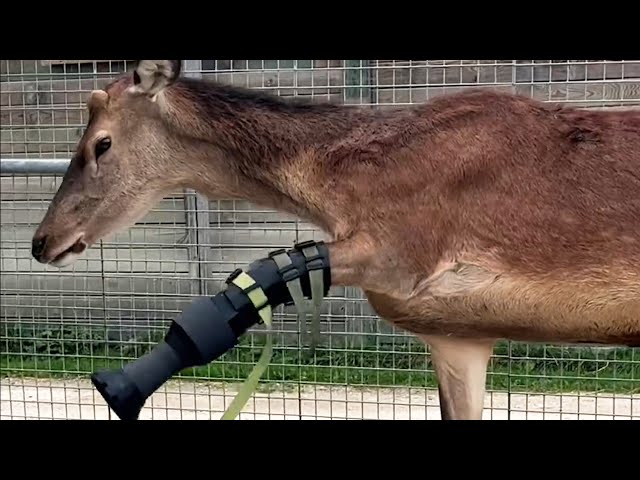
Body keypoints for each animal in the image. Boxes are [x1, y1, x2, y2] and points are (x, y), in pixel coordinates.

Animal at [31, 61, 640, 420]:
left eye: (100, 143)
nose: (43, 240)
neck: (348, 184)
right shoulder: (460, 335)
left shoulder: (406, 254)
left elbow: (267, 272)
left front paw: (122, 385)